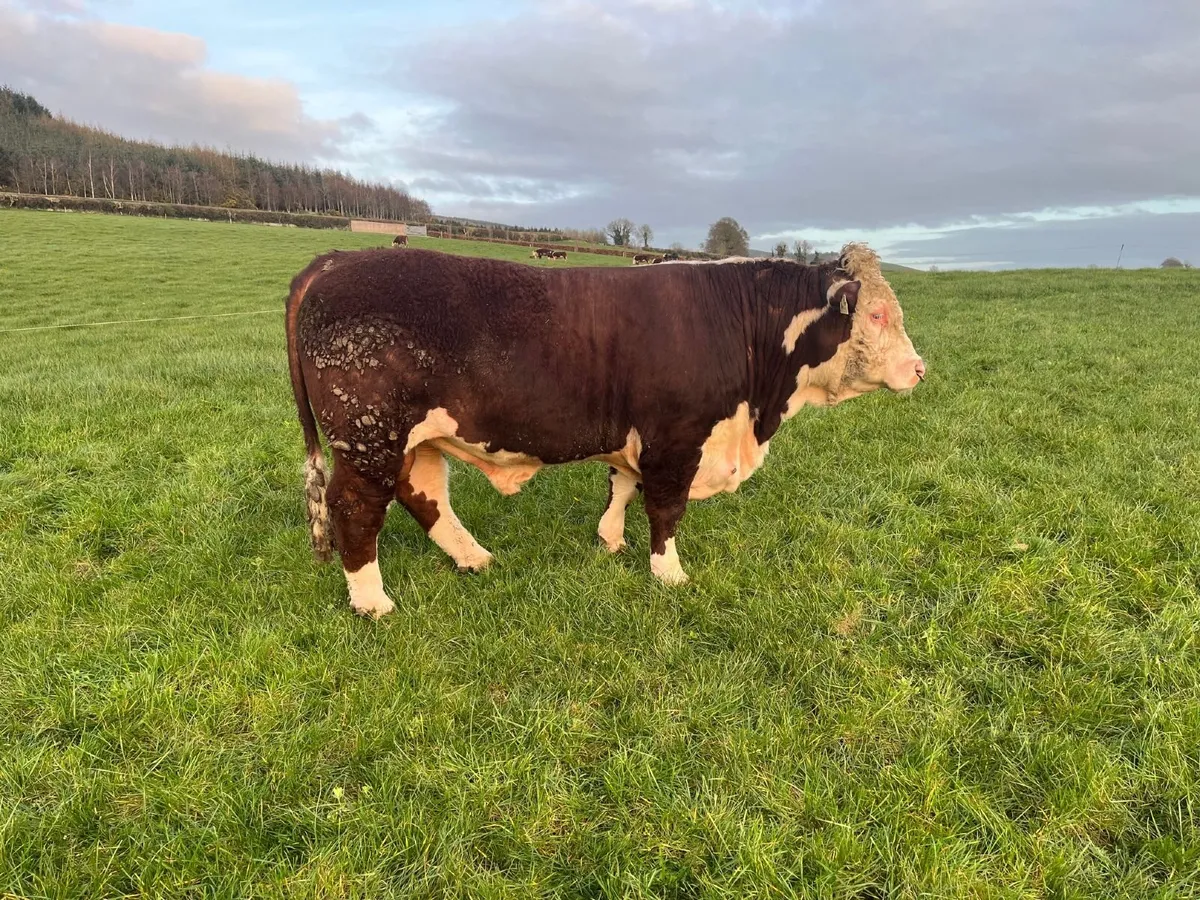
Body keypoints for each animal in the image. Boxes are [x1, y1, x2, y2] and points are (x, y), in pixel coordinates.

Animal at [285, 243, 926, 618]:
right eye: (876, 314)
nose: (920, 369)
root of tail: (337, 258)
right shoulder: (678, 438)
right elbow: (665, 508)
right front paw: (669, 573)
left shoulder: (638, 435)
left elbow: (622, 484)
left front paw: (611, 540)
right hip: (369, 437)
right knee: (356, 508)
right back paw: (373, 601)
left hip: (411, 440)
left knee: (424, 496)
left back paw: (475, 559)